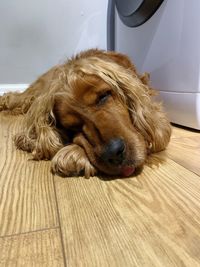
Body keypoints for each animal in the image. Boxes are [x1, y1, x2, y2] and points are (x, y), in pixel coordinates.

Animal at [0, 49, 172, 179]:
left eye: (103, 96)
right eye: (71, 125)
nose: (114, 153)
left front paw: (73, 153)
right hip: (35, 91)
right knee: (19, 98)